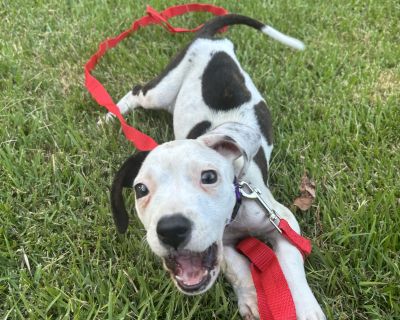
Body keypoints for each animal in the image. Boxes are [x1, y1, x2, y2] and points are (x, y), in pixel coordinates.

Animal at [109, 13, 324, 318]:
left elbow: (291, 267)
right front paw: (252, 297)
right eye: (141, 190)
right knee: (137, 91)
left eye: (209, 177)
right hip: (161, 91)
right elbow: (237, 266)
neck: (236, 213)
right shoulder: (223, 243)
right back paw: (108, 117)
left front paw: (305, 308)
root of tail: (211, 39)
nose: (171, 229)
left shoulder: (282, 221)